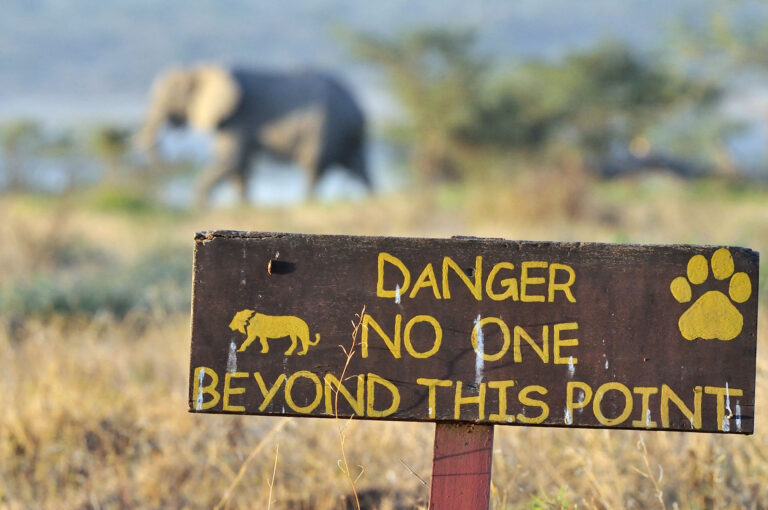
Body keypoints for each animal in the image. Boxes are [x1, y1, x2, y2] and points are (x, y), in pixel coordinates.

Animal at [136, 64, 374, 204]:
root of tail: (359, 107)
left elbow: (232, 160)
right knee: (358, 167)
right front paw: (243, 207)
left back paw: (308, 202)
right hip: (347, 132)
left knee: (314, 165)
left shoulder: (241, 117)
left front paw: (201, 206)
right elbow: (239, 167)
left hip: (326, 127)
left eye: (170, 97)